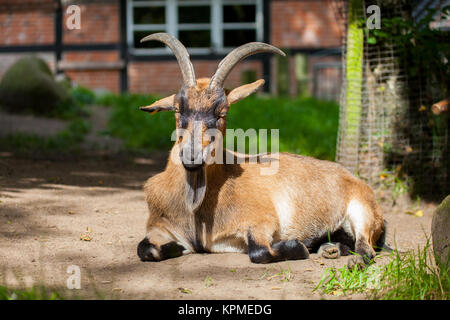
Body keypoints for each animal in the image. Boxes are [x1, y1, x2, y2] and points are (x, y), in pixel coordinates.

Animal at [136, 33, 386, 268]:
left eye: (222, 112)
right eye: (177, 109)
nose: (192, 156)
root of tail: (354, 178)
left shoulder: (263, 222)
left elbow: (260, 251)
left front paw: (299, 246)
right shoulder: (160, 227)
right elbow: (146, 249)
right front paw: (175, 248)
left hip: (362, 211)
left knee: (366, 248)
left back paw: (349, 259)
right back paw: (329, 248)